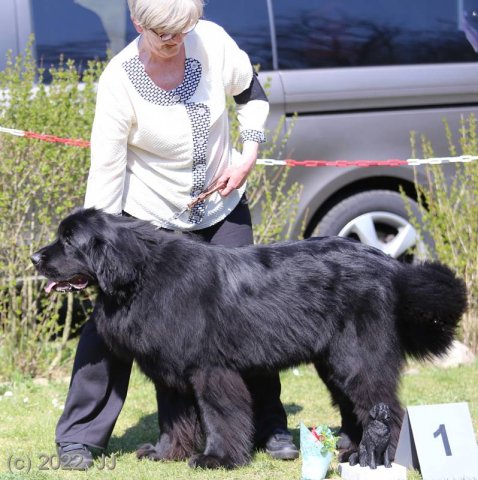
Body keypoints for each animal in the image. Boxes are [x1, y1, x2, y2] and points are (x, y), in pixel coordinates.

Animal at [30, 209, 466, 468]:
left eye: (69, 241)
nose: (35, 257)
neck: (141, 278)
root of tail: (387, 262)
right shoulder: (171, 374)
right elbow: (174, 419)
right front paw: (165, 453)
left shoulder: (210, 369)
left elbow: (220, 415)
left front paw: (217, 459)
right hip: (333, 363)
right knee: (351, 407)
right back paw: (349, 449)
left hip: (357, 358)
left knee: (383, 406)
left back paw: (378, 457)